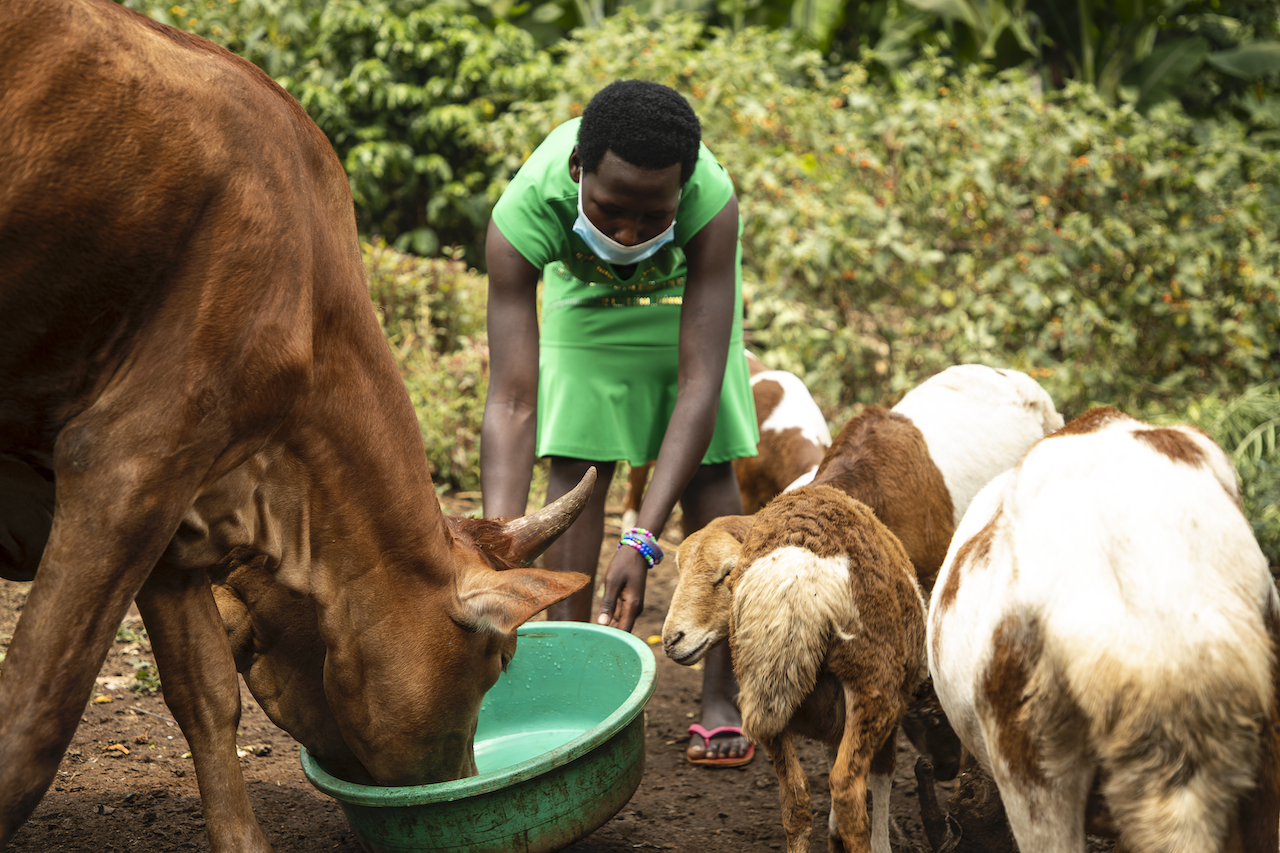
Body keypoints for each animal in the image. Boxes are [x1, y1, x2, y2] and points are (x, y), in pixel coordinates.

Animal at [0, 3, 588, 845]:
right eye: (498, 660)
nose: (461, 778)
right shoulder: (125, 462)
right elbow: (33, 724)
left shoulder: (170, 499)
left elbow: (206, 694)